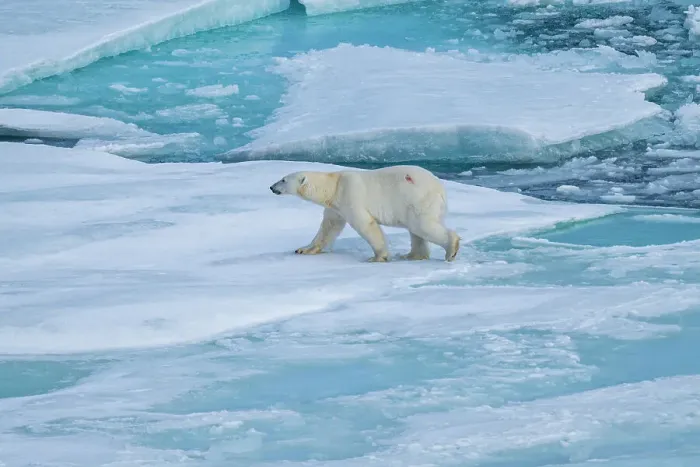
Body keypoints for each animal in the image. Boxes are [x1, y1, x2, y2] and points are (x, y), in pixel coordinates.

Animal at [269, 165, 460, 262]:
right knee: (416, 230)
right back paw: (412, 255)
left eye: (283, 180)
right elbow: (329, 227)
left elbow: (365, 224)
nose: (271, 187)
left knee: (421, 226)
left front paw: (378, 257)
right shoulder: (335, 206)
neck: (334, 184)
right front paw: (304, 249)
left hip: (418, 199)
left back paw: (451, 249)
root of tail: (441, 189)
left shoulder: (350, 194)